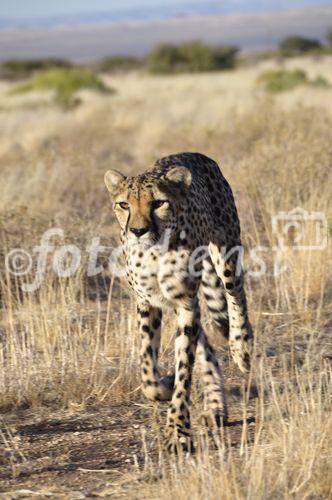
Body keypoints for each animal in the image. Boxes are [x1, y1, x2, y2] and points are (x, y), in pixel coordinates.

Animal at [105, 150, 253, 452]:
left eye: (158, 203)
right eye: (124, 204)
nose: (138, 230)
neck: (153, 252)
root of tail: (194, 154)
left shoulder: (186, 302)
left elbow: (185, 367)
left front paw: (178, 430)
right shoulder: (149, 302)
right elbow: (147, 366)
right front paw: (163, 385)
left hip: (226, 253)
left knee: (236, 295)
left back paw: (241, 347)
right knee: (204, 344)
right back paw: (215, 405)